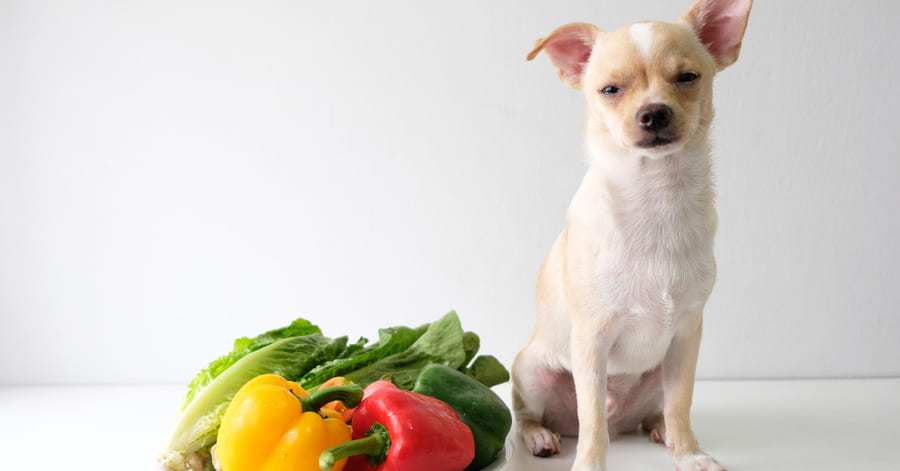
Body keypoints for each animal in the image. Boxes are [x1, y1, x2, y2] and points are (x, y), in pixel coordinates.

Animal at [512, 0, 752, 471]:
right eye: (610, 90)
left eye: (687, 78)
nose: (654, 112)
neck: (655, 198)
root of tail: (622, 419)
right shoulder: (591, 343)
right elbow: (592, 424)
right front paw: (588, 465)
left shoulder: (686, 338)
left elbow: (681, 405)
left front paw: (689, 454)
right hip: (532, 369)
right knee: (536, 416)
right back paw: (542, 437)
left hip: (657, 374)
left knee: (657, 412)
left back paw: (660, 431)